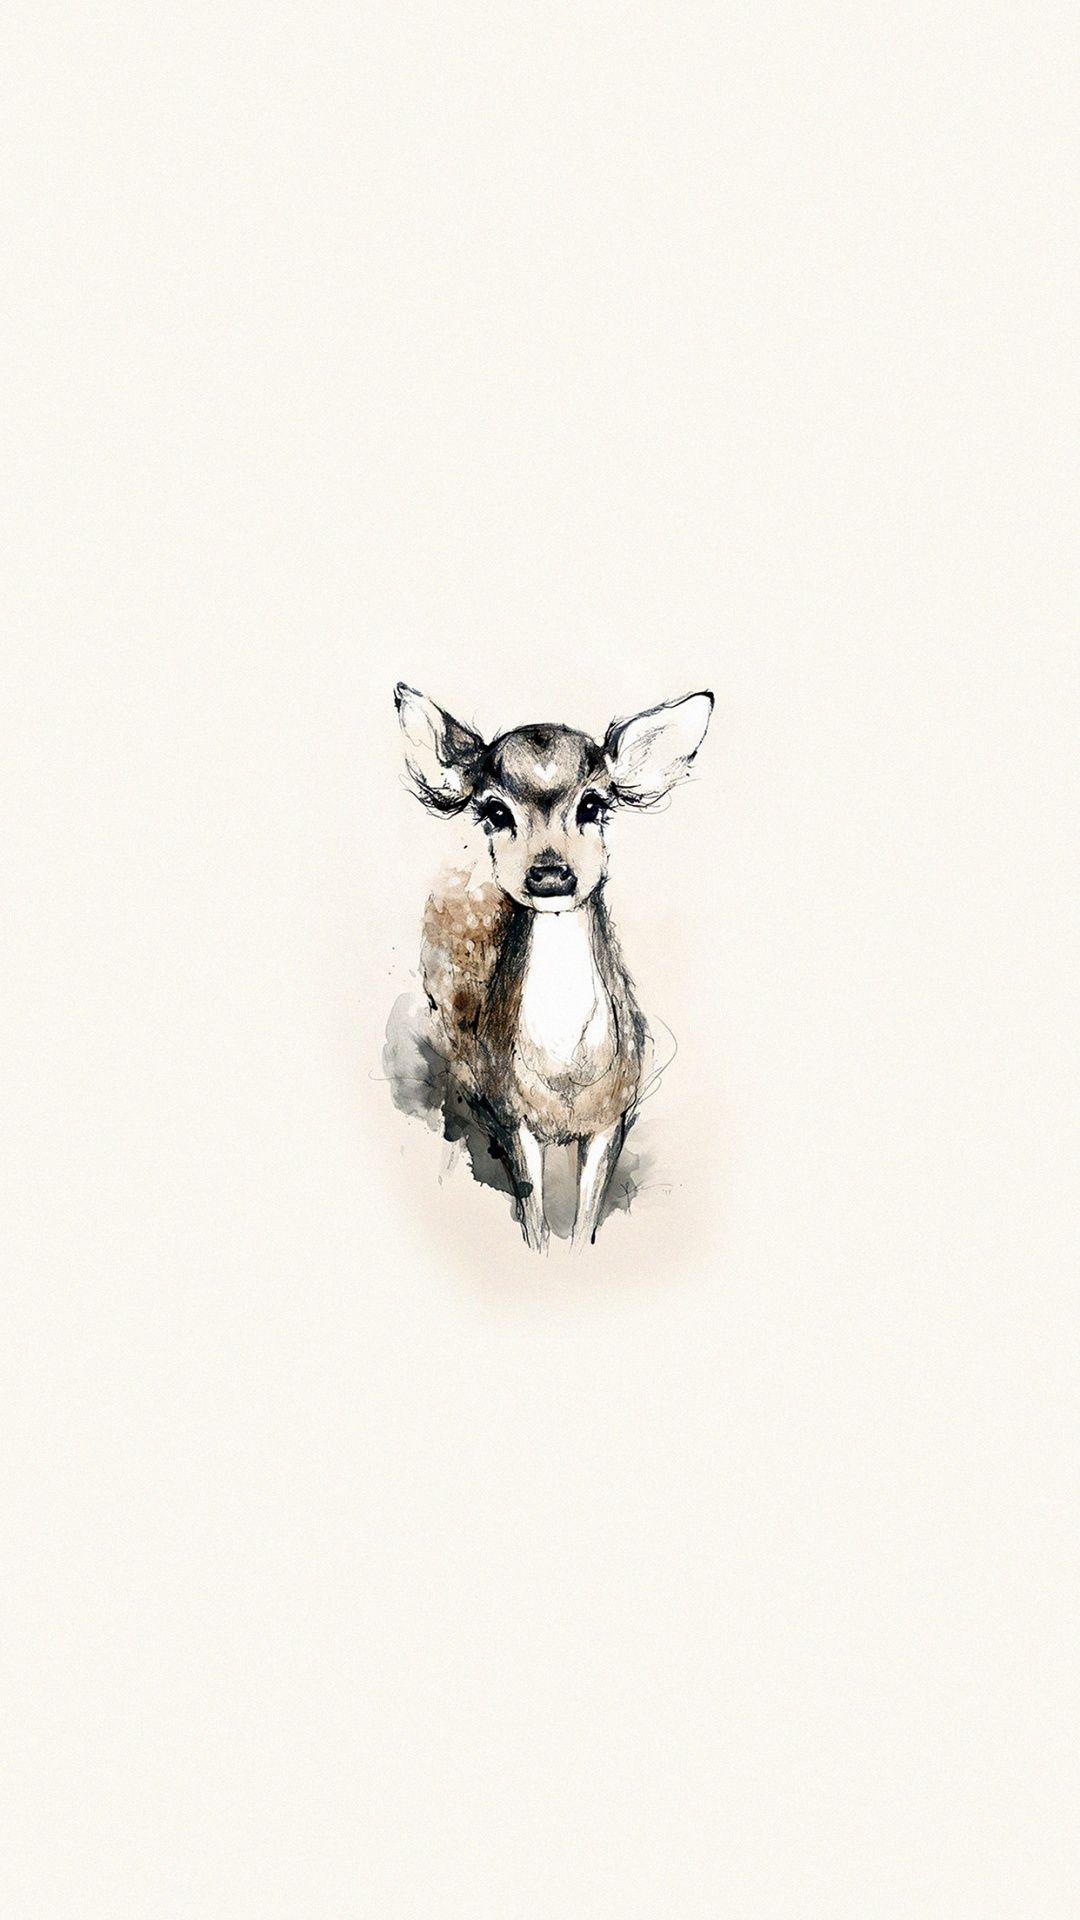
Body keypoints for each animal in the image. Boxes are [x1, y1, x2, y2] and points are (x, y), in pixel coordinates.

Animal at [393, 683, 714, 1250]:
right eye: (495, 810)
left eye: (593, 802)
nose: (549, 874)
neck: (566, 1078)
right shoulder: (512, 1115)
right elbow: (535, 1220)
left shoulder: (614, 1115)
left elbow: (585, 1221)